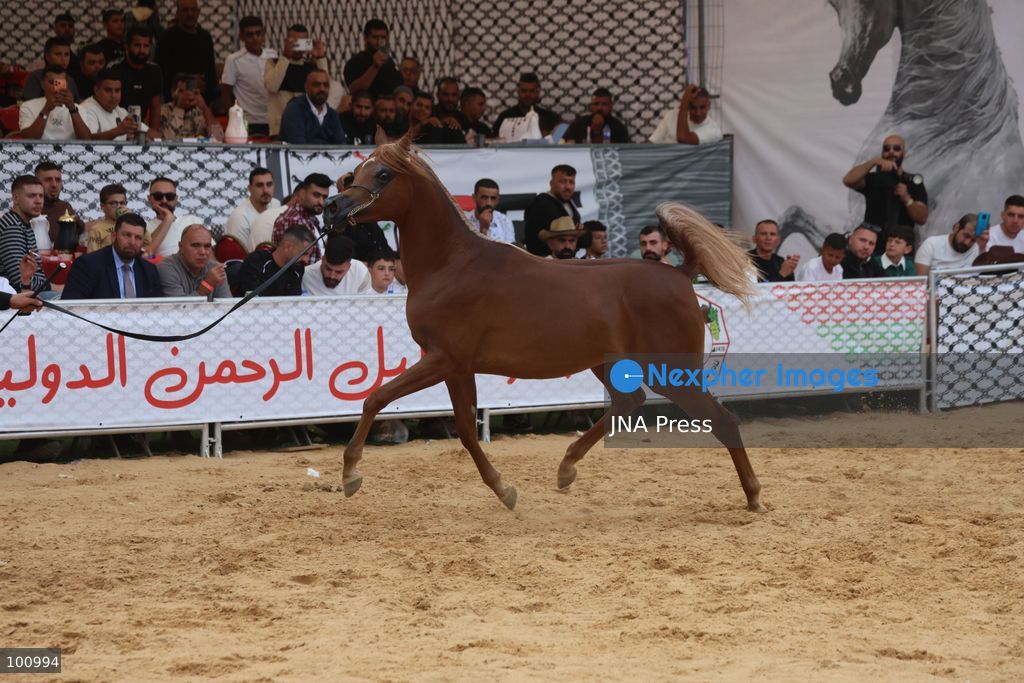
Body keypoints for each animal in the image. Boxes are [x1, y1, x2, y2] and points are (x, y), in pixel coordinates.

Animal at [324, 136, 766, 513]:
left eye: (383, 174)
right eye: (355, 172)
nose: (334, 209)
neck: (451, 265)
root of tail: (679, 274)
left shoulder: (443, 360)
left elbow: (376, 398)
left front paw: (350, 475)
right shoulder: (457, 368)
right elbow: (464, 430)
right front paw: (505, 490)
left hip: (670, 371)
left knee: (720, 419)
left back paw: (754, 498)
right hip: (608, 363)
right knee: (630, 403)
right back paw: (566, 469)